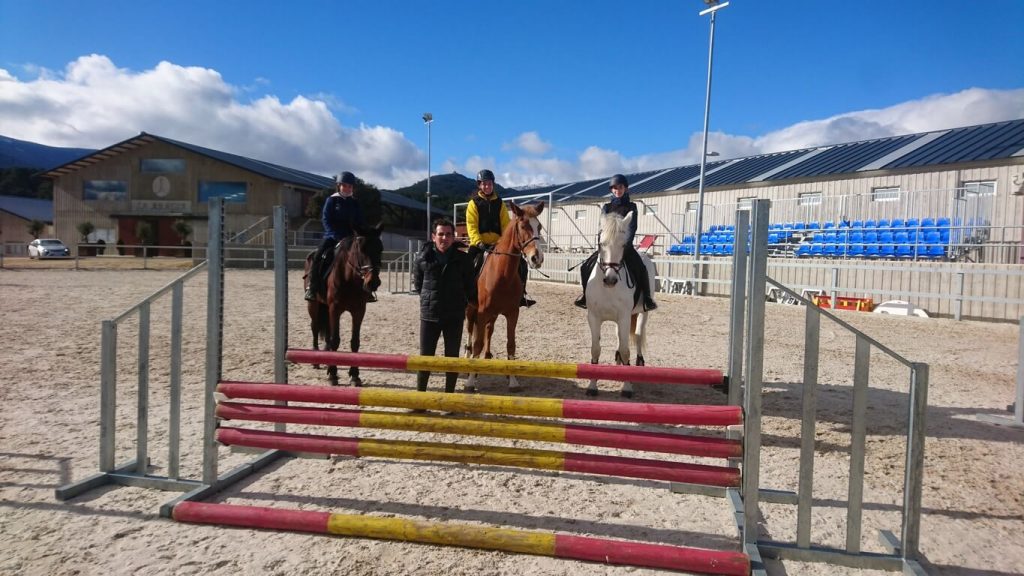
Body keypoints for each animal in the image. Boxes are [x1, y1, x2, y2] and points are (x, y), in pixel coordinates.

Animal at [305, 224, 385, 385]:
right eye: (361, 249)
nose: (373, 282)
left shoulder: (359, 310)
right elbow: (335, 340)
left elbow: (355, 342)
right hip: (314, 306)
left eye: (380, 249)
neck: (350, 280)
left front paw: (355, 375)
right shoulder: (335, 309)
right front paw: (333, 375)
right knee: (315, 327)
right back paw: (316, 359)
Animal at [464, 199, 544, 391]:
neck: (502, 274)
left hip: (492, 314)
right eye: (522, 226)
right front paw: (470, 381)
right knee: (470, 332)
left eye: (540, 226)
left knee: (488, 330)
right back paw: (467, 360)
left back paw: (487, 358)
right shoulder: (482, 312)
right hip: (470, 309)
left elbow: (511, 344)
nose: (537, 258)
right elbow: (477, 343)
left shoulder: (512, 313)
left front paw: (512, 380)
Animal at [585, 210, 655, 393]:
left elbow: (625, 350)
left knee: (637, 336)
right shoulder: (594, 317)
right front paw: (592, 386)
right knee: (619, 336)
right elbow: (595, 349)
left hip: (643, 313)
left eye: (623, 245)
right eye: (601, 243)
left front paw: (627, 387)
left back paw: (639, 363)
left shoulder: (624, 317)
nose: (610, 280)